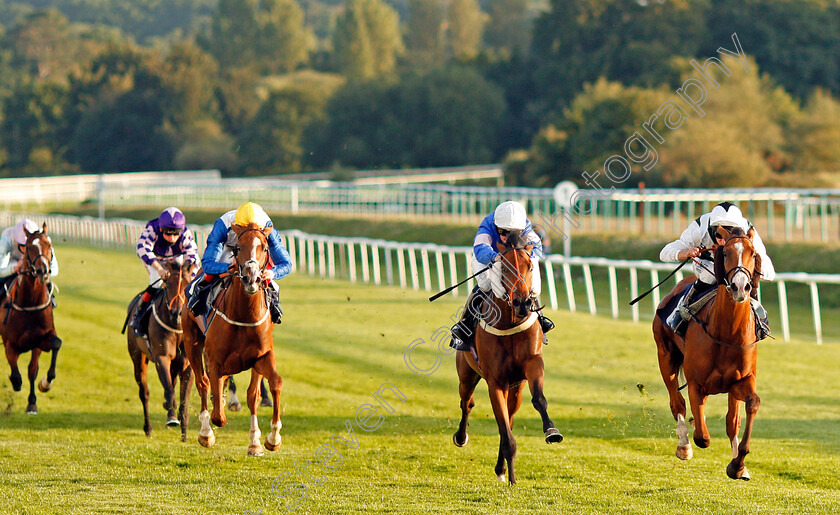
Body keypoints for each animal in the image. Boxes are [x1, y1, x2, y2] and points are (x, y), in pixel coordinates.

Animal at [0, 226, 60, 416]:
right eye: (28, 247)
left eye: (49, 245)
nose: (43, 271)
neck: (29, 303)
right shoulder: (10, 343)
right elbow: (16, 374)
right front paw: (16, 384)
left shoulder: (39, 341)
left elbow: (33, 370)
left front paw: (40, 391)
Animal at [124, 256, 199, 442]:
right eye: (166, 284)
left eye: (187, 285)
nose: (176, 313)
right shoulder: (162, 358)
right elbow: (169, 391)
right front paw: (171, 415)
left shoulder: (188, 364)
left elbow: (183, 399)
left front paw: (184, 433)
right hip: (137, 357)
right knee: (144, 393)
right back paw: (148, 427)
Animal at [182, 224, 284, 458]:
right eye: (238, 248)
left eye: (265, 248)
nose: (251, 278)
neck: (244, 315)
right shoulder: (216, 361)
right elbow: (218, 414)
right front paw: (209, 429)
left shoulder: (261, 357)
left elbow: (267, 388)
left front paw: (268, 439)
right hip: (191, 341)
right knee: (202, 383)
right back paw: (205, 432)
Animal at [452, 234, 564, 484]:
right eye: (504, 268)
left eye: (530, 266)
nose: (522, 302)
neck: (510, 322)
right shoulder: (496, 382)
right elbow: (503, 428)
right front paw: (512, 477)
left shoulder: (532, 365)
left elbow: (538, 400)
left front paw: (552, 431)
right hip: (466, 375)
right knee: (467, 403)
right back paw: (461, 437)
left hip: (515, 389)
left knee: (509, 418)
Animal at [652, 228, 764, 482]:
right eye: (726, 252)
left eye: (753, 253)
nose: (740, 286)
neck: (727, 333)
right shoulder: (696, 383)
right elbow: (702, 437)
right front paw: (691, 436)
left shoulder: (741, 381)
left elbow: (748, 408)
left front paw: (738, 465)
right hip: (665, 356)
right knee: (677, 403)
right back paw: (683, 445)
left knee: (732, 420)